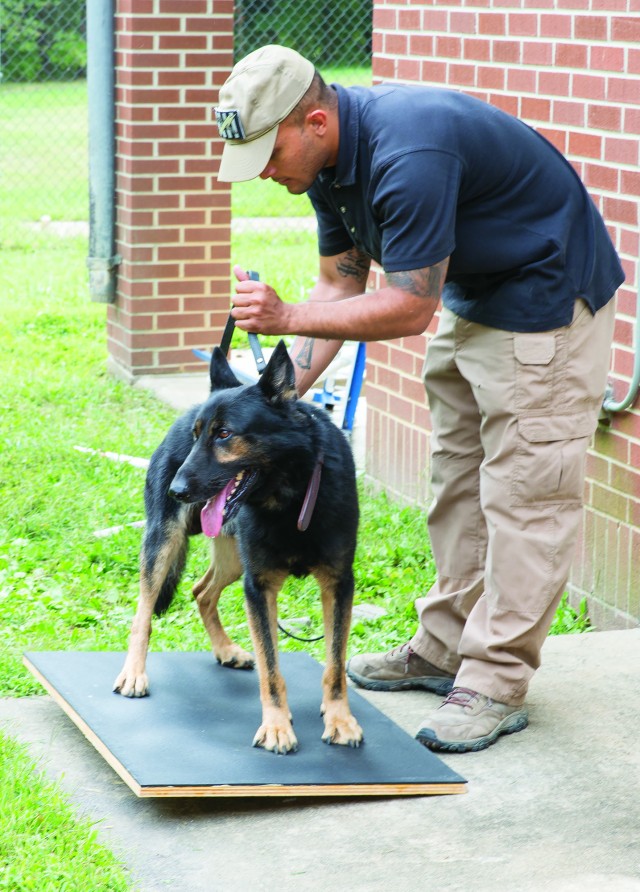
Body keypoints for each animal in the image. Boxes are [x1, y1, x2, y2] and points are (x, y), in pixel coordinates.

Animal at [112, 342, 362, 752]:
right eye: (197, 435)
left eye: (224, 434)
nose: (175, 490)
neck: (292, 495)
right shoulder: (259, 588)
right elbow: (271, 667)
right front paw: (276, 725)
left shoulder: (337, 584)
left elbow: (336, 662)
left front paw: (339, 718)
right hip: (164, 544)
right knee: (143, 612)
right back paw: (134, 672)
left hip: (234, 561)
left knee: (201, 591)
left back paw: (225, 649)